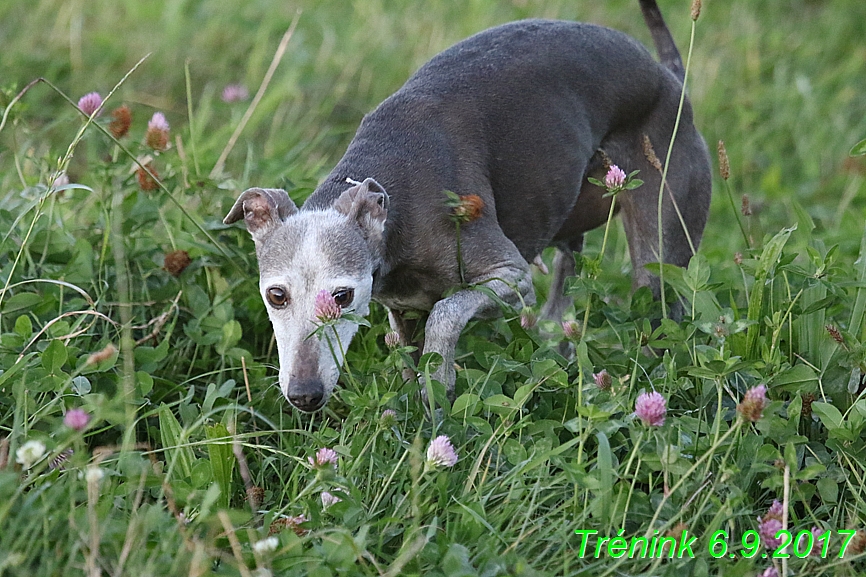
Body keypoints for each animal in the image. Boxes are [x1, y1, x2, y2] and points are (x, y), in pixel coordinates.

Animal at [223, 1, 708, 414]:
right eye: (276, 295)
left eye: (343, 296)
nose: (304, 395)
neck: (391, 180)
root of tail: (670, 77)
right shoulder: (402, 309)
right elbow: (411, 353)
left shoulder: (511, 280)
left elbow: (446, 313)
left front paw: (438, 387)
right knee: (562, 304)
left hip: (660, 251)